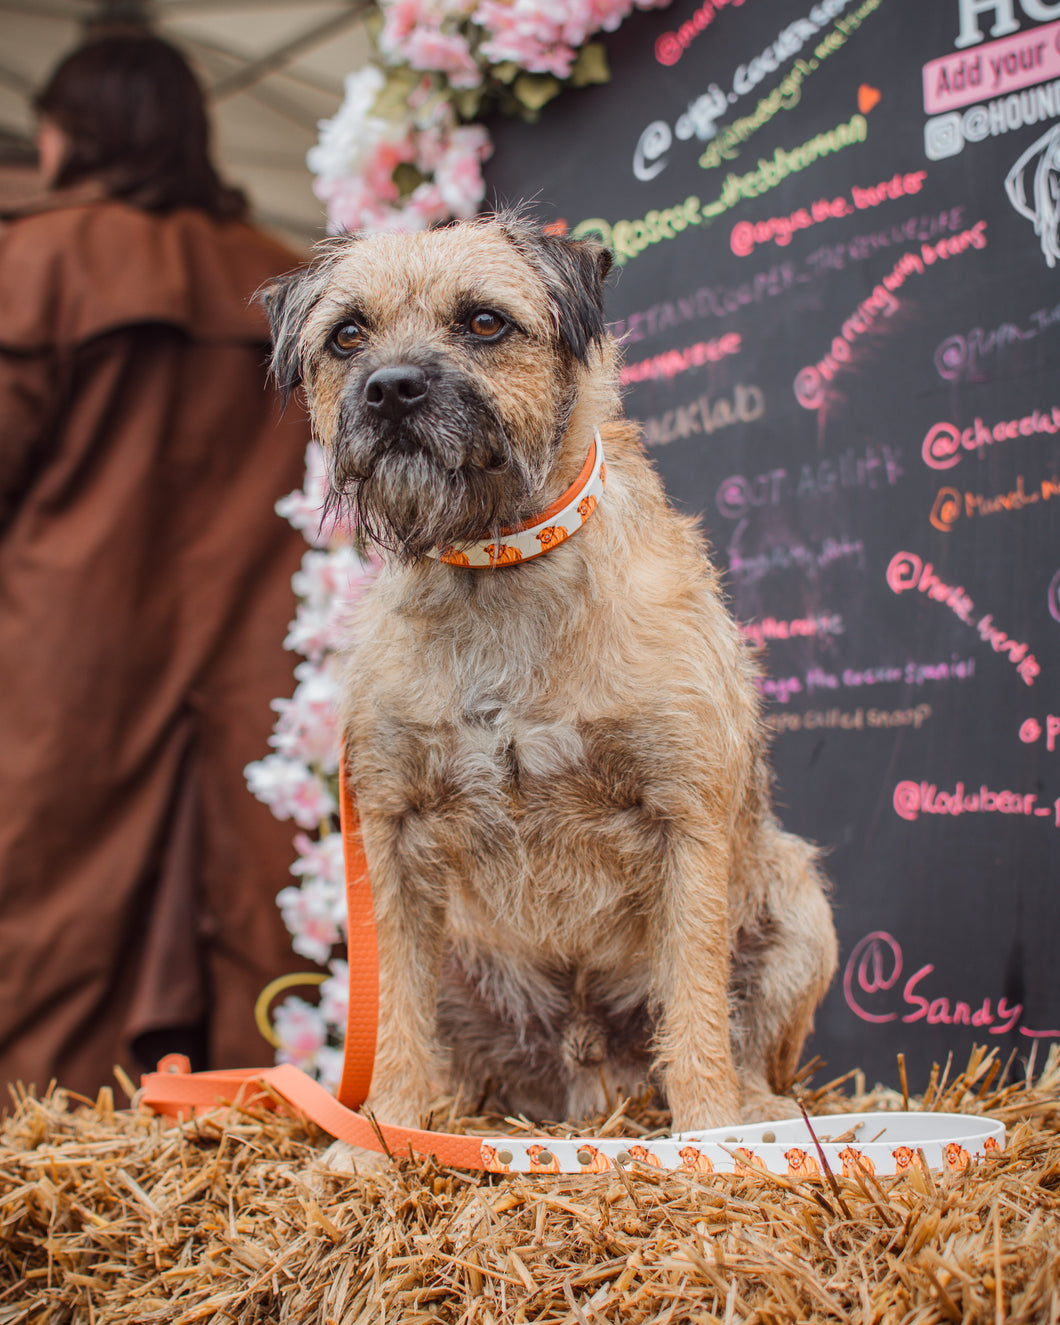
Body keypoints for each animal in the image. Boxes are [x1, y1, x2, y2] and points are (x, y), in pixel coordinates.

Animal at [262, 212, 837, 1144]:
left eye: (485, 322)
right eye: (347, 335)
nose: (391, 389)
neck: (495, 564)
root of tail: (585, 1077)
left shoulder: (688, 825)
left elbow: (697, 1008)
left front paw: (710, 1136)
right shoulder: (391, 840)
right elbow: (396, 1023)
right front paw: (378, 1140)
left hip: (796, 898)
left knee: (748, 1042)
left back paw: (758, 1108)